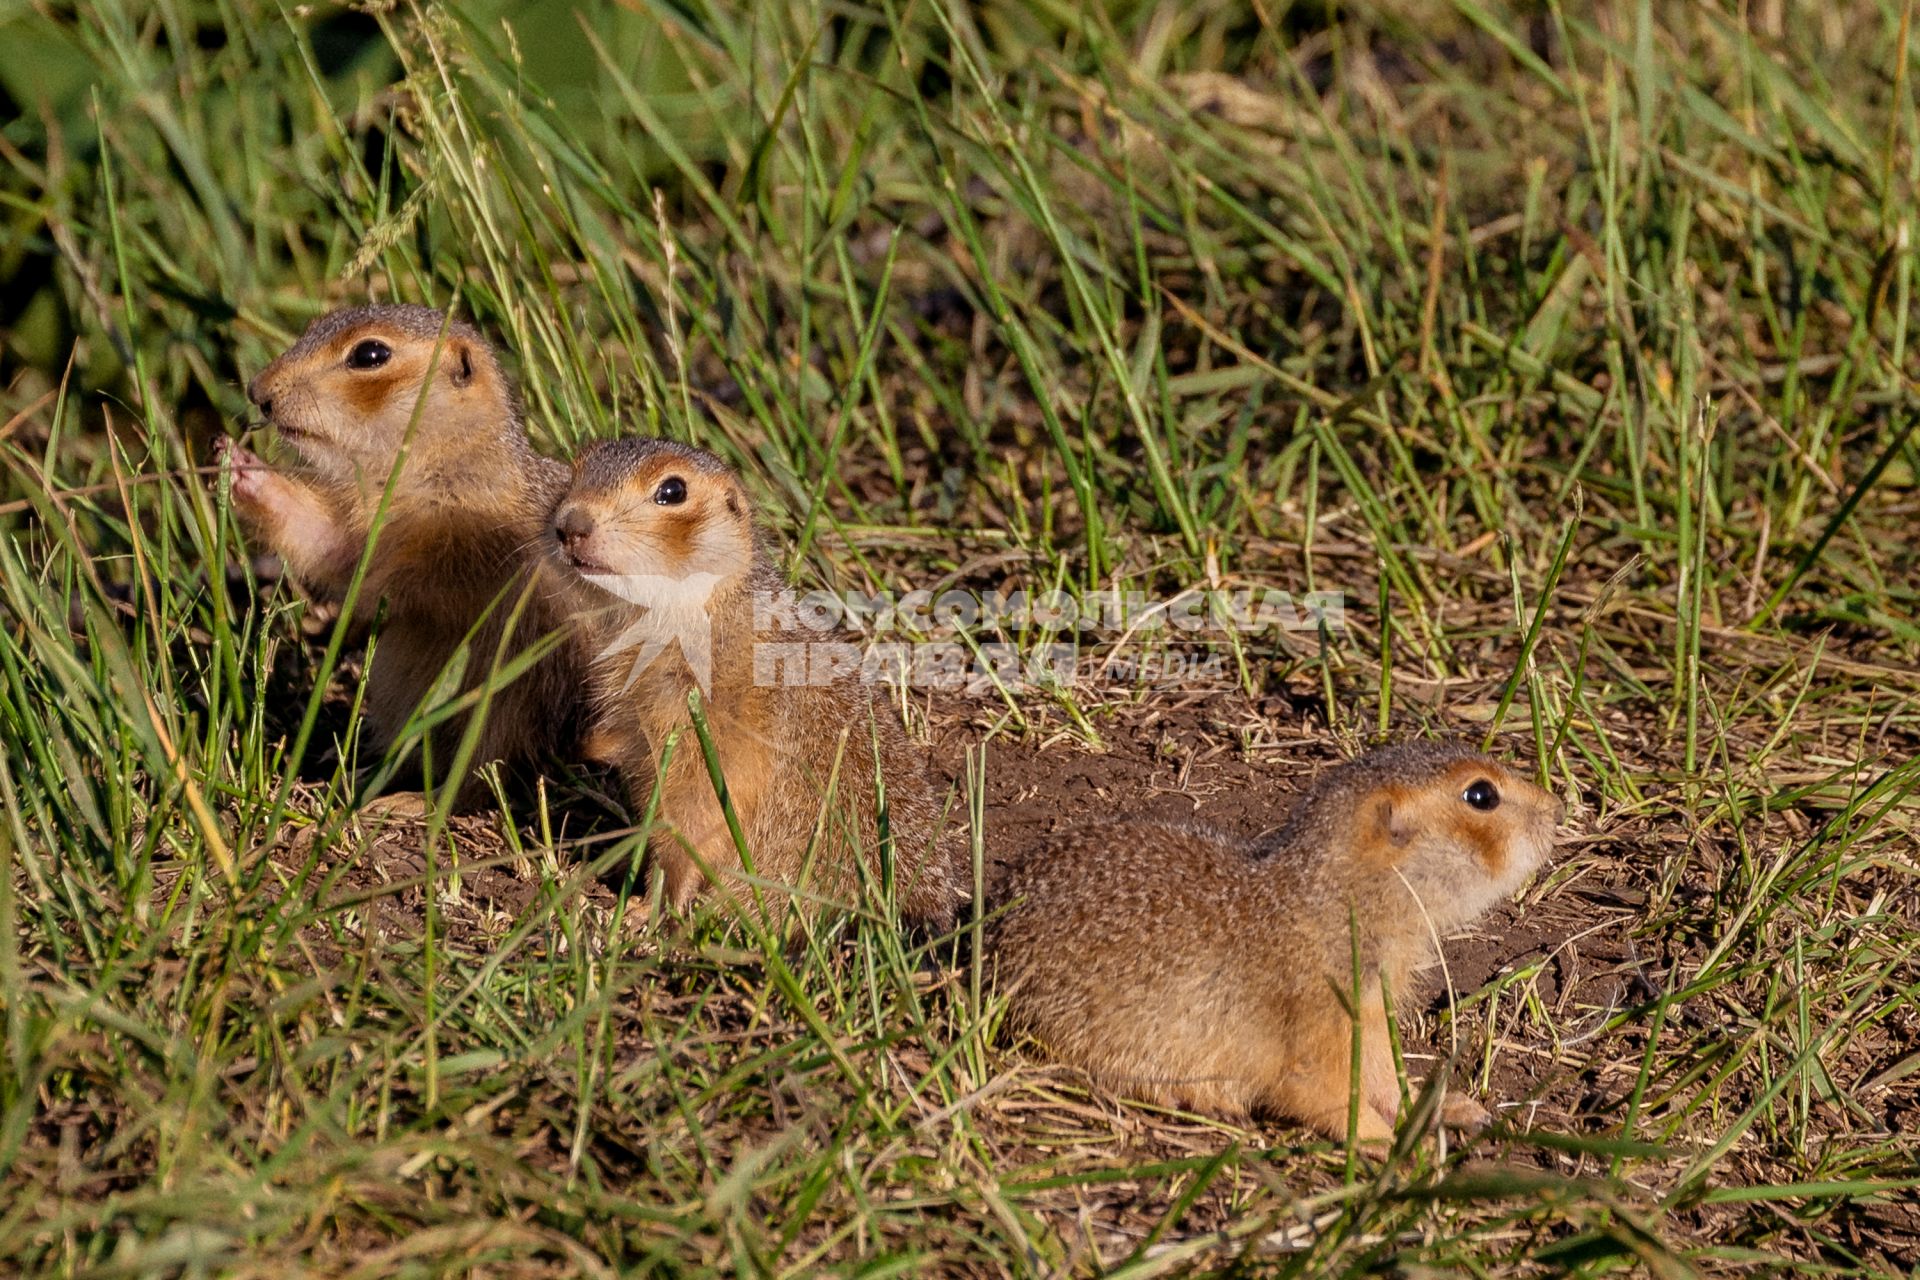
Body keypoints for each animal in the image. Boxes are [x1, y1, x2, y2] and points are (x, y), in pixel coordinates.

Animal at [219, 303, 579, 802]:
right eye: (314, 325)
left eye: (370, 354)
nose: (257, 390)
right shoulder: (355, 526)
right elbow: (325, 542)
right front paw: (242, 465)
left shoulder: (471, 546)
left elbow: (417, 584)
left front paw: (356, 611)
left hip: (507, 705)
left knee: (481, 776)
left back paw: (410, 803)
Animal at [541, 435, 960, 924]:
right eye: (575, 470)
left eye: (672, 491)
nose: (571, 524)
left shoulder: (715, 731)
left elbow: (695, 818)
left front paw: (650, 909)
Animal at [990, 740, 1559, 1143]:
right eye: (1481, 795)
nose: (1556, 806)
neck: (1332, 902)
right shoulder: (1320, 1015)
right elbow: (1321, 1092)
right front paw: (1392, 1146)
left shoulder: (1371, 1010)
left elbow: (1381, 1075)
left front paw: (1448, 1107)